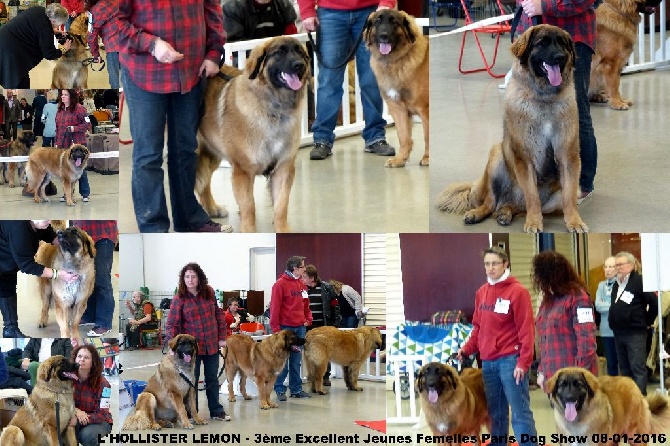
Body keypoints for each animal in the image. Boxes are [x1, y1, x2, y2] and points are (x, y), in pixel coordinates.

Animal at [193, 36, 312, 232]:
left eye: (300, 52)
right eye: (279, 52)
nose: (299, 65)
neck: (273, 110)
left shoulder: (283, 168)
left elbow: (281, 206)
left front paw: (282, 230)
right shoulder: (243, 171)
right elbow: (249, 206)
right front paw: (249, 231)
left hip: (210, 154)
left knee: (204, 183)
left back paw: (212, 209)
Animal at [362, 9, 430, 168]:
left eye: (394, 22)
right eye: (378, 21)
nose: (384, 36)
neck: (397, 60)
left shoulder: (425, 109)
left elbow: (427, 136)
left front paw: (427, 158)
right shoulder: (398, 109)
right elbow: (403, 137)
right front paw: (400, 159)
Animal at [436, 25, 588, 233]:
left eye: (562, 44)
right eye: (542, 43)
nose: (559, 57)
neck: (543, 98)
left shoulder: (568, 154)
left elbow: (569, 196)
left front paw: (574, 221)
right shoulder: (524, 156)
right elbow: (532, 196)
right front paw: (534, 223)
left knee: (517, 206)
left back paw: (505, 213)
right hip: (497, 157)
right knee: (491, 202)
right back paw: (478, 213)